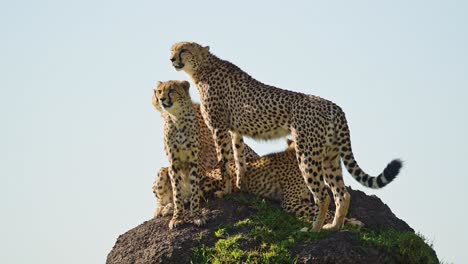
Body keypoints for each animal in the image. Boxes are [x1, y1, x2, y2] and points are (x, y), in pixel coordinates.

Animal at [170, 41, 400, 231]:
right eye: (172, 49)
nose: (171, 59)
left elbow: (224, 162)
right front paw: (240, 184)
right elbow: (238, 158)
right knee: (342, 194)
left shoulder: (219, 127)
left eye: (184, 50)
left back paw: (314, 230)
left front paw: (225, 191)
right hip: (330, 157)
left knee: (322, 196)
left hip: (307, 154)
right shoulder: (236, 130)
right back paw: (334, 227)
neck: (203, 67)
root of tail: (334, 106)